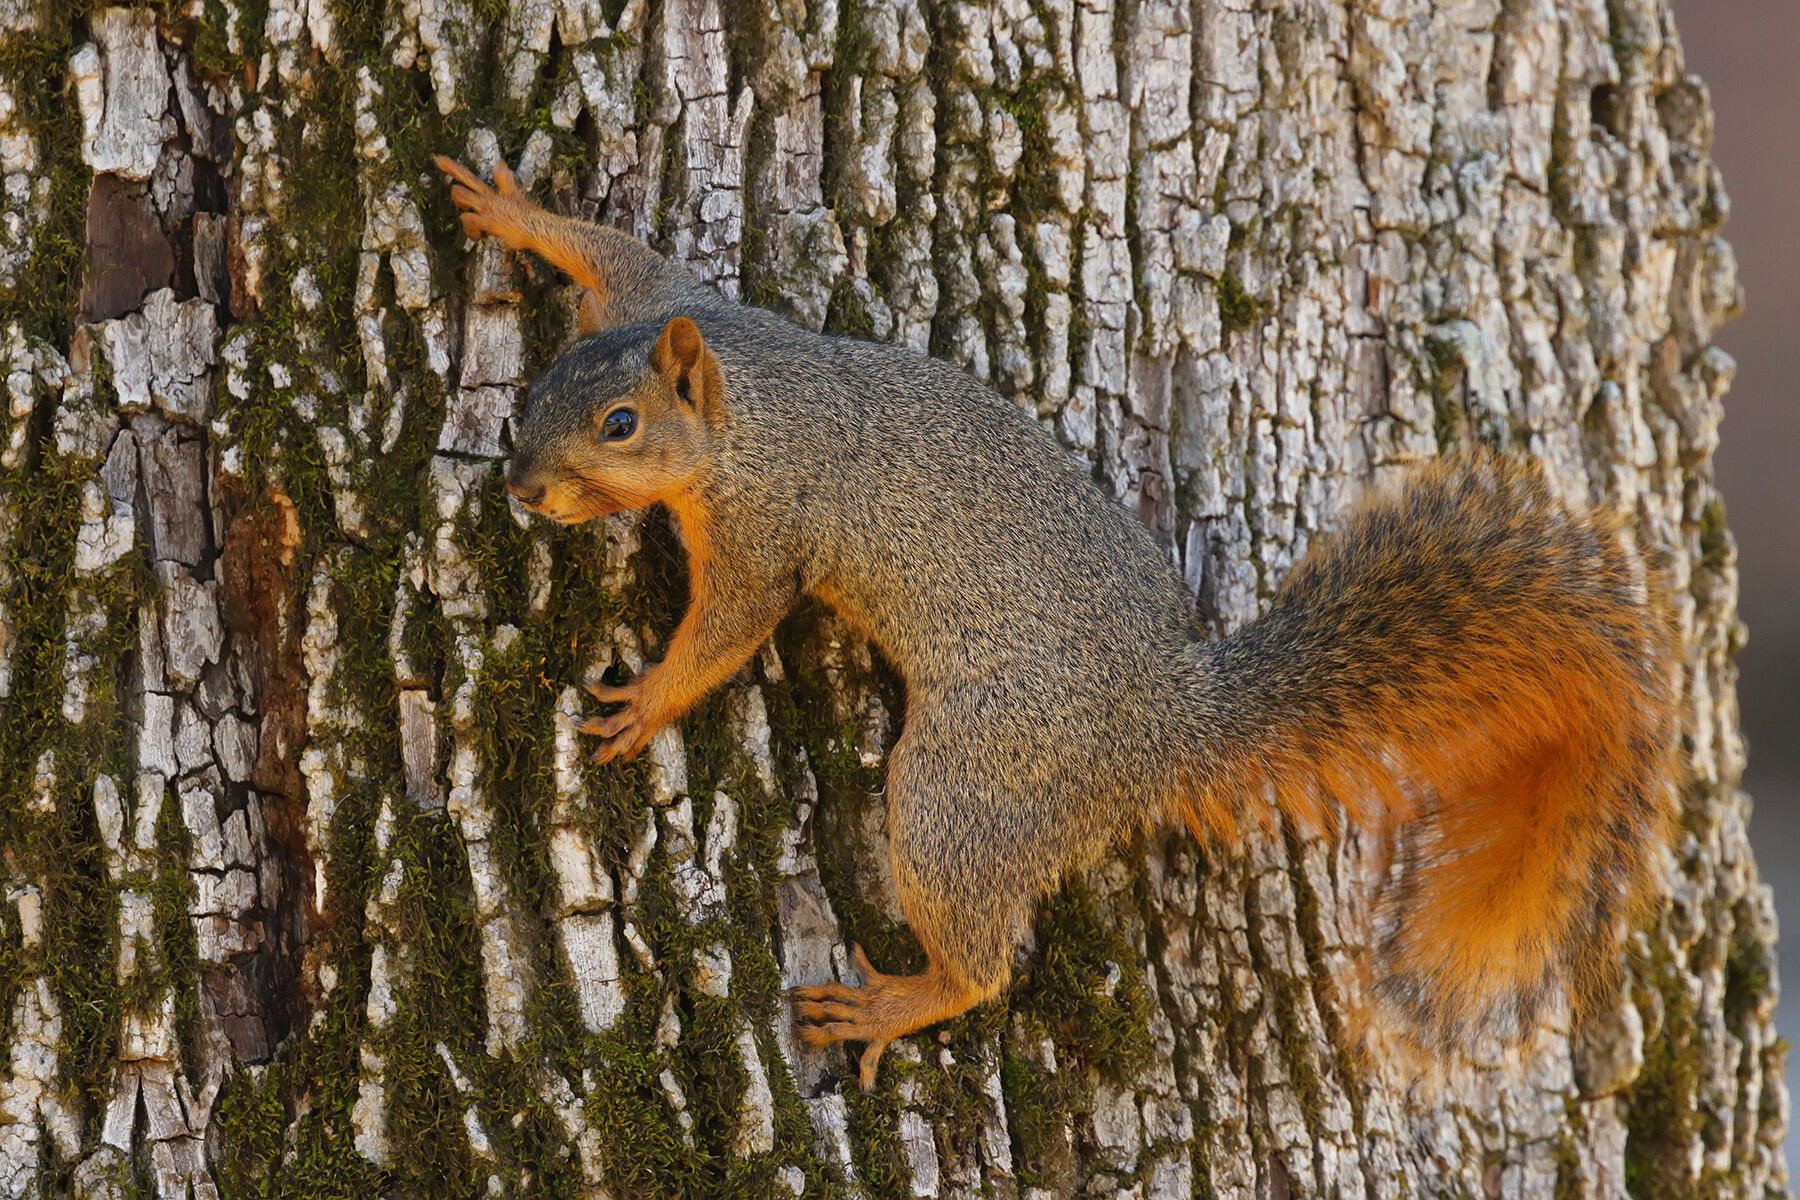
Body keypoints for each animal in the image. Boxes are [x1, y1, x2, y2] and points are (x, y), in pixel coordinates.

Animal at [434, 155, 1678, 1090]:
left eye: (622, 424)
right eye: (536, 389)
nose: (523, 488)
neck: (741, 405)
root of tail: (1164, 730)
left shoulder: (764, 527)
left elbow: (730, 628)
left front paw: (647, 698)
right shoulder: (660, 294)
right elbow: (610, 247)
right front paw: (510, 210)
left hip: (969, 783)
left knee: (983, 956)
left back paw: (894, 1005)